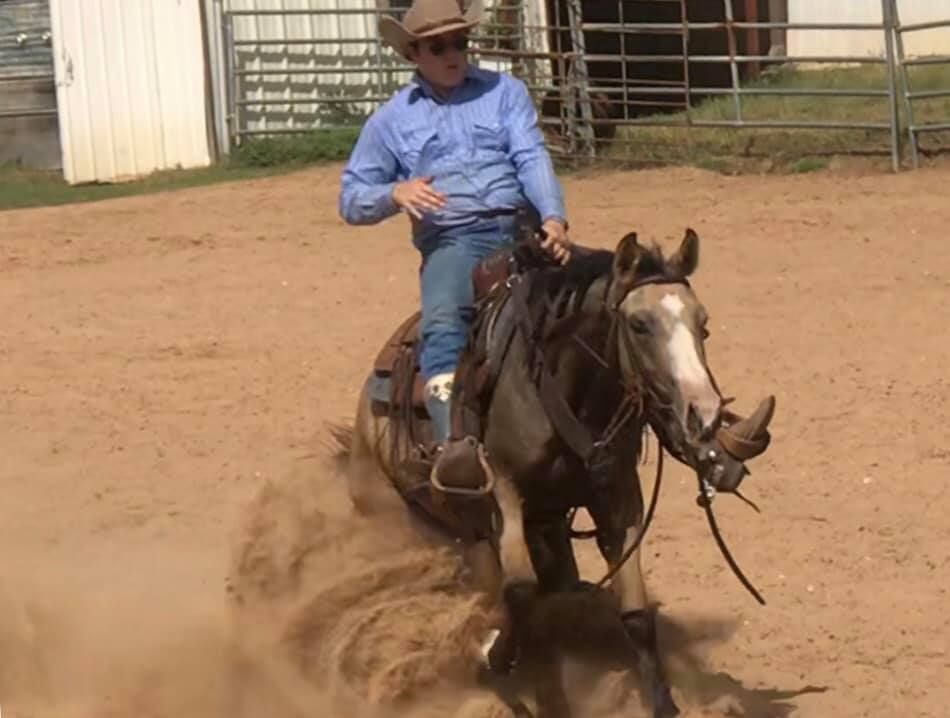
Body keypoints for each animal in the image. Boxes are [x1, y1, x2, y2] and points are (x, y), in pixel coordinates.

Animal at [332, 226, 774, 718]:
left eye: (704, 324)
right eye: (639, 325)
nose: (705, 415)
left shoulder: (618, 495)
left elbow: (635, 613)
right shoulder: (502, 490)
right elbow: (521, 592)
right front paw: (494, 656)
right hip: (402, 516)